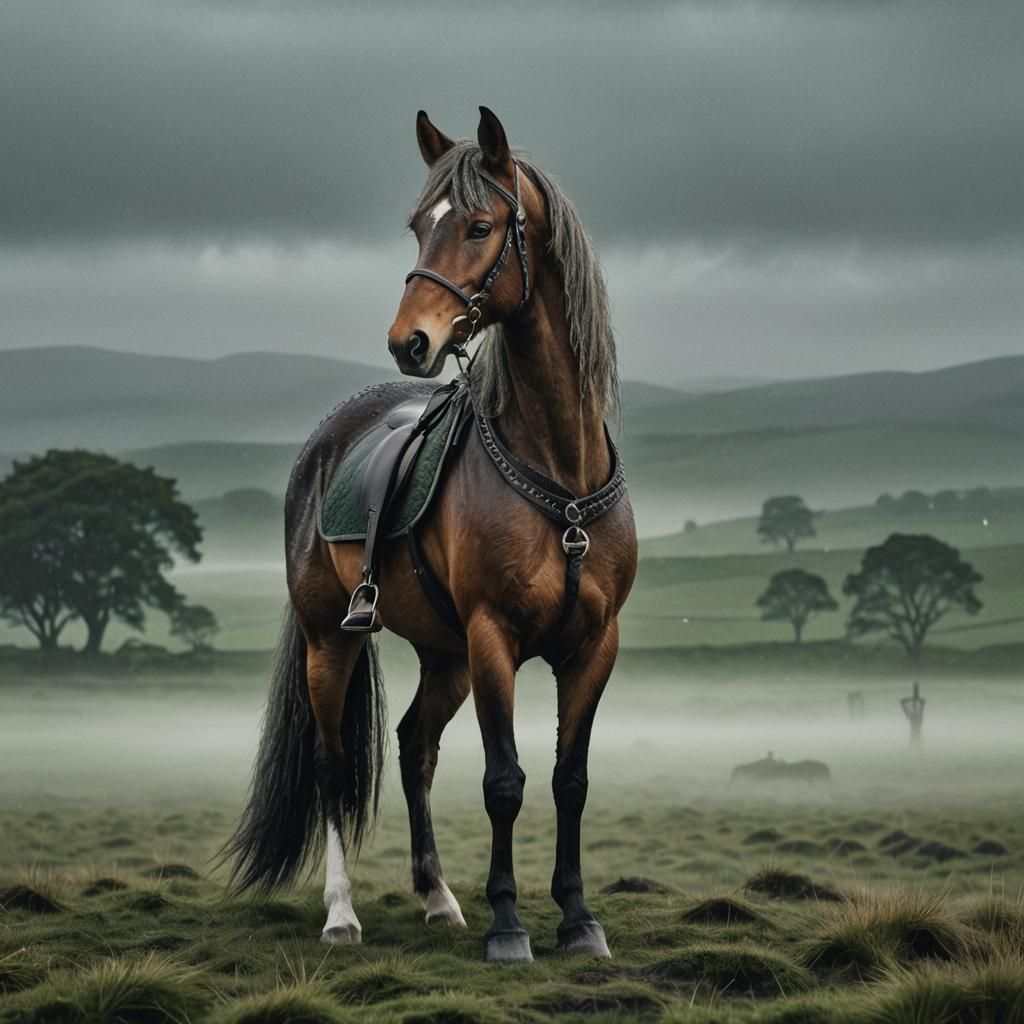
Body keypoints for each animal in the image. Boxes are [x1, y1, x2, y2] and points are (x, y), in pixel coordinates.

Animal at [221, 107, 638, 963]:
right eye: (420, 226)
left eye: (480, 226)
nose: (408, 341)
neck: (561, 473)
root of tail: (324, 445)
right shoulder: (493, 639)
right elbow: (504, 781)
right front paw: (509, 926)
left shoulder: (592, 646)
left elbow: (569, 781)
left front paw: (578, 919)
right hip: (333, 641)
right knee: (332, 765)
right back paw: (341, 913)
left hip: (443, 655)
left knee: (415, 746)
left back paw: (438, 897)